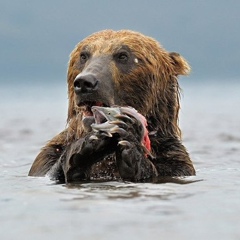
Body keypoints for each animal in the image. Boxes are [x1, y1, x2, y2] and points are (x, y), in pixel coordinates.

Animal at [29, 29, 196, 183]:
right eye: (83, 55)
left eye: (122, 55)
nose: (85, 82)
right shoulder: (46, 158)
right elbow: (51, 168)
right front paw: (86, 148)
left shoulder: (175, 161)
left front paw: (130, 148)